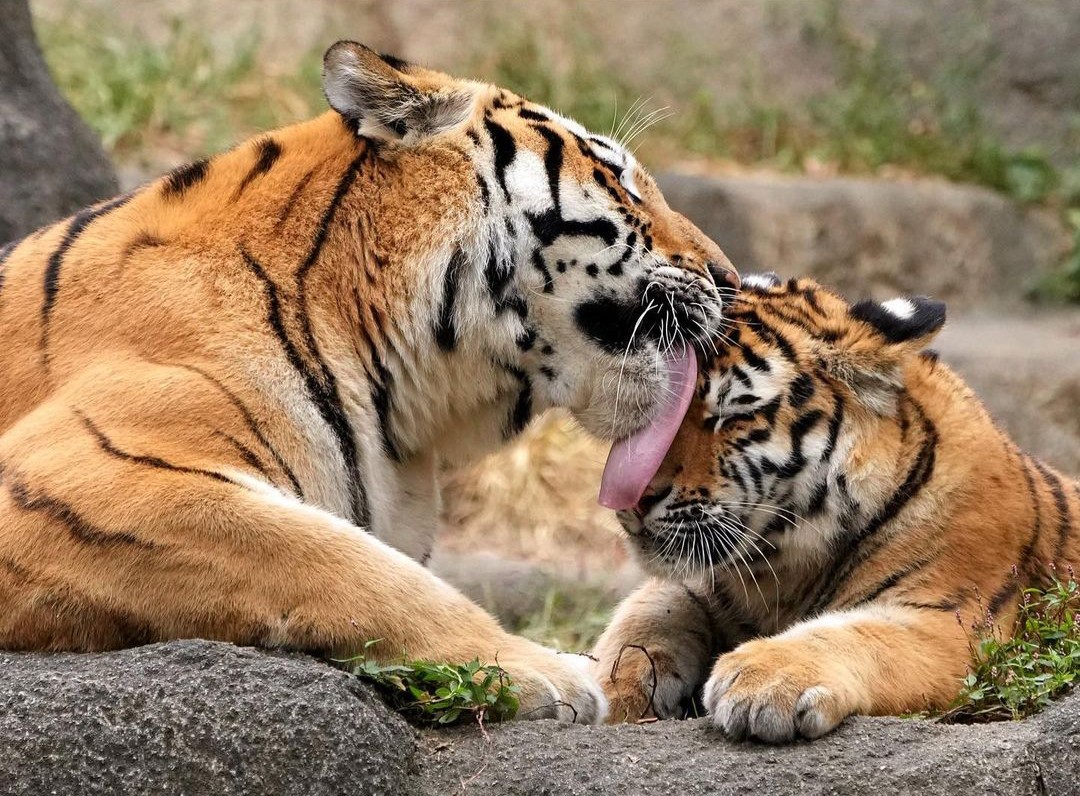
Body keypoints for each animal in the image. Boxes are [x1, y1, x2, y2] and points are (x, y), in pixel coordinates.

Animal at [591, 274, 1080, 738]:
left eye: (734, 416)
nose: (634, 498)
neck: (780, 571)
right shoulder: (696, 584)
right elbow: (643, 619)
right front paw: (600, 689)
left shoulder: (952, 620)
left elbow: (859, 636)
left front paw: (764, 678)